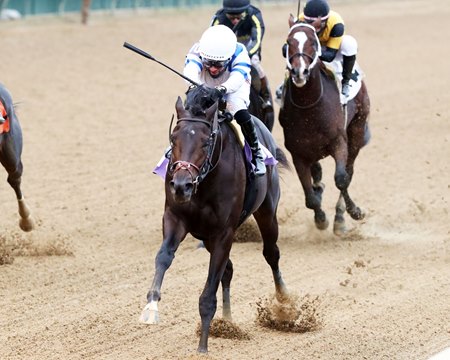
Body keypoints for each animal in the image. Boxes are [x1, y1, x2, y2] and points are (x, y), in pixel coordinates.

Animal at [139, 86, 290, 352]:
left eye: (206, 141)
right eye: (173, 138)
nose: (181, 185)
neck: (205, 182)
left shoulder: (223, 232)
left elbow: (209, 293)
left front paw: (202, 346)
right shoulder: (175, 217)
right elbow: (164, 257)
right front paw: (151, 307)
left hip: (267, 212)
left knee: (271, 254)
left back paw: (285, 304)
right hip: (207, 235)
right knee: (228, 269)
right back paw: (227, 322)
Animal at [280, 16, 370, 235]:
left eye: (313, 42)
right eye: (288, 43)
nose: (300, 72)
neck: (309, 107)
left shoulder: (339, 142)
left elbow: (341, 178)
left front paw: (352, 212)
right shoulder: (298, 154)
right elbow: (310, 197)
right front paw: (320, 218)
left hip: (357, 128)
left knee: (349, 171)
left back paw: (341, 216)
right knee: (318, 172)